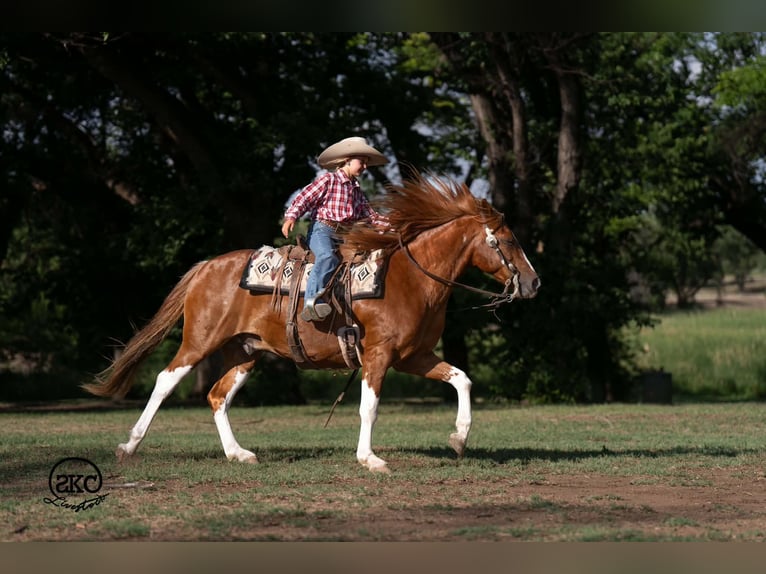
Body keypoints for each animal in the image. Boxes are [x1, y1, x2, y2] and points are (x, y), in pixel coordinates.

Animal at [83, 172, 540, 473]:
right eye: (508, 240)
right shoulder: (378, 356)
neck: (411, 279)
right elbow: (369, 408)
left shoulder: (415, 356)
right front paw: (369, 458)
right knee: (165, 381)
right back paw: (129, 446)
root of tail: (206, 267)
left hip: (244, 351)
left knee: (217, 396)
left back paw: (238, 453)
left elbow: (462, 379)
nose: (534, 282)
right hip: (199, 342)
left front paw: (459, 439)